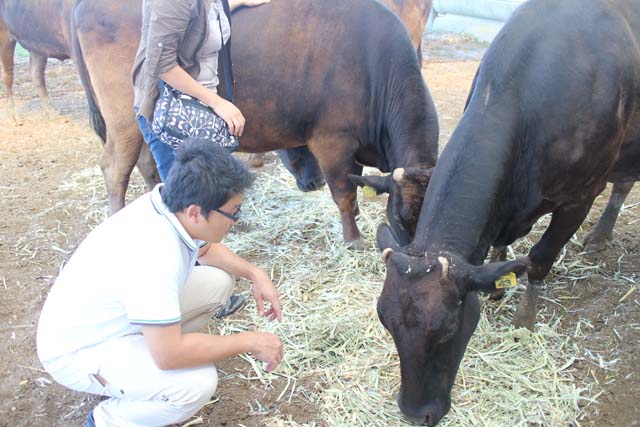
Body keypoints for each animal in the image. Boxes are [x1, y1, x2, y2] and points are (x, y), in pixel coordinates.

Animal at [372, 0, 636, 424]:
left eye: (447, 328)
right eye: (385, 319)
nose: (415, 413)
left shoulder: (580, 195)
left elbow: (539, 259)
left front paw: (524, 319)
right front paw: (497, 285)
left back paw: (598, 236)